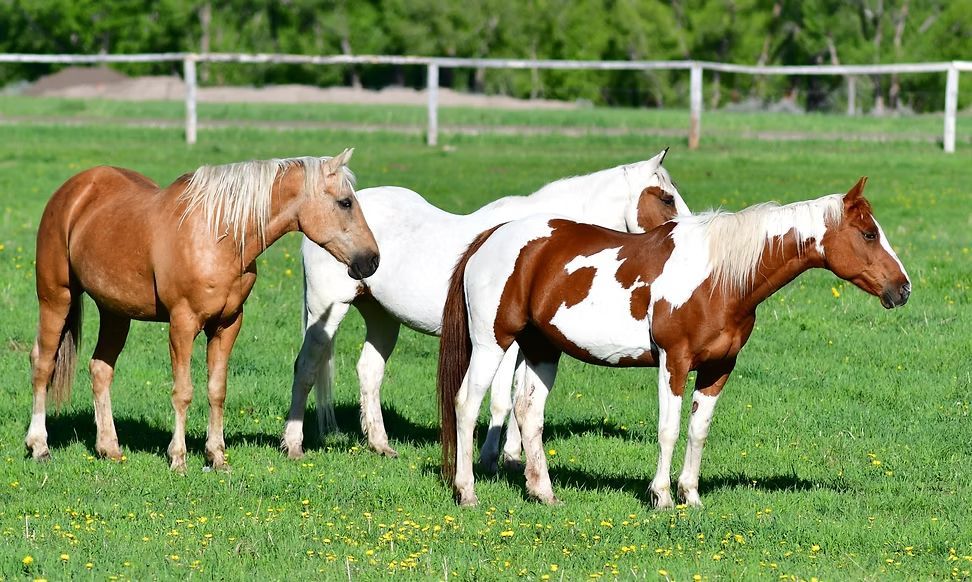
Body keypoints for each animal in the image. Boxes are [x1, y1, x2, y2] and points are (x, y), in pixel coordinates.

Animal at [25, 149, 379, 472]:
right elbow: (183, 391)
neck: (217, 235)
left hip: (115, 312)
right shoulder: (182, 324)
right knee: (42, 363)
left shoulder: (227, 324)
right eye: (345, 203)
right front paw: (178, 458)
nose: (372, 260)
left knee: (100, 369)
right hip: (56, 297)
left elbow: (217, 390)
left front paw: (217, 456)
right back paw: (39, 445)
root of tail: (74, 191)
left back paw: (109, 448)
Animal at [283, 148, 691, 463]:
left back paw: (380, 445)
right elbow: (501, 401)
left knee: (369, 371)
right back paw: (293, 445)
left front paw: (513, 455)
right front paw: (491, 457)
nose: (687, 234)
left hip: (382, 317)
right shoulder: (502, 342)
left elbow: (521, 396)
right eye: (666, 198)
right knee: (306, 367)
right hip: (328, 308)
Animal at [438, 177, 910, 507]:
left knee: (529, 412)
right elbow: (668, 429)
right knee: (466, 403)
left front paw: (691, 495)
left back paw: (544, 493)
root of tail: (490, 238)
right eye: (869, 234)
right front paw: (662, 496)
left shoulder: (719, 368)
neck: (719, 277)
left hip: (541, 348)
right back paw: (467, 492)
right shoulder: (675, 361)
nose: (903, 289)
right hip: (493, 342)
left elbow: (699, 431)